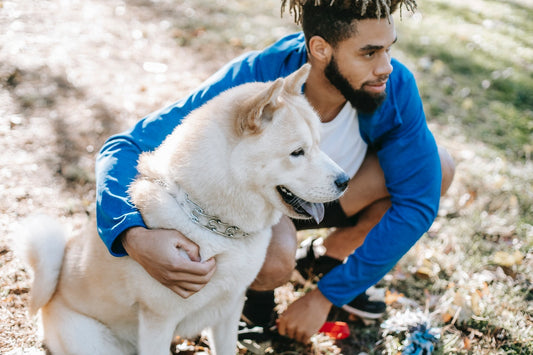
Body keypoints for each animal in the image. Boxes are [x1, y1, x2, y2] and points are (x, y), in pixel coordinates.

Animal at [15, 64, 350, 355]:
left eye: (318, 144)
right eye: (297, 152)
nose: (345, 181)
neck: (214, 224)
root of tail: (52, 295)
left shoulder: (228, 312)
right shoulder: (157, 323)